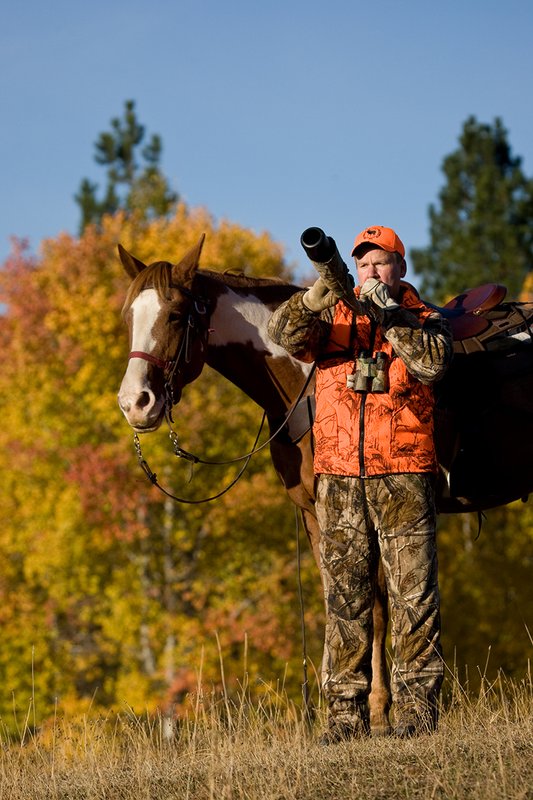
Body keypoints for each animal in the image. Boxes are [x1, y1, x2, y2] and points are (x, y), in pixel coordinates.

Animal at [117, 235, 533, 734]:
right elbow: (340, 601)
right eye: (128, 318)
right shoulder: (317, 513)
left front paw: (378, 709)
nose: (135, 403)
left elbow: (377, 608)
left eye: (176, 315)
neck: (305, 376)